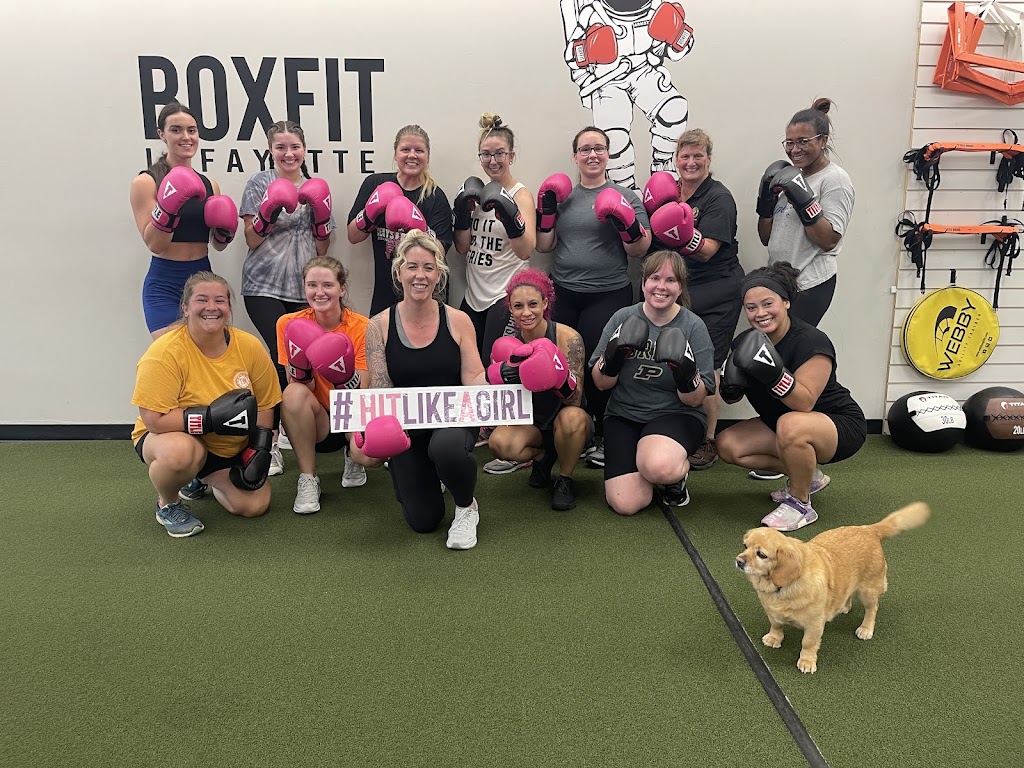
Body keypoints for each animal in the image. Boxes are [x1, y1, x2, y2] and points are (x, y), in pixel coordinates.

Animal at [735, 502, 930, 674]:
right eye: (745, 546)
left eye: (761, 554)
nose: (738, 561)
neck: (782, 588)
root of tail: (869, 530)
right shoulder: (773, 614)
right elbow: (776, 626)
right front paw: (774, 638)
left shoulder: (814, 625)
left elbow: (808, 644)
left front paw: (807, 661)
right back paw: (844, 607)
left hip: (867, 592)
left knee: (872, 609)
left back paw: (866, 629)